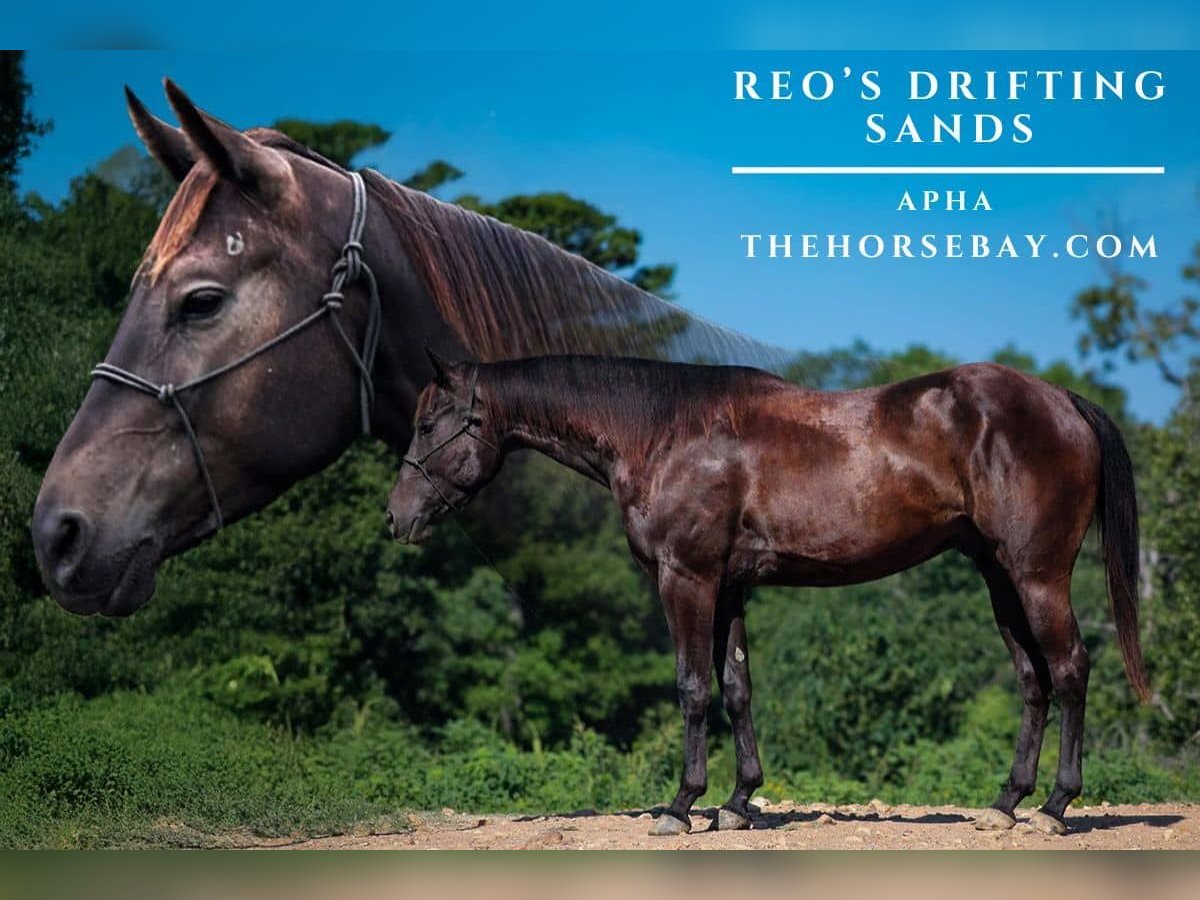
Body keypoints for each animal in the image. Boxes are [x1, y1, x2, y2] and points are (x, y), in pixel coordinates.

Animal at [386, 350, 1148, 837]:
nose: (395, 518)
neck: (666, 433)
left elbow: (693, 687)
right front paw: (739, 801)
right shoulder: (730, 588)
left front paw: (681, 805)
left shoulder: (686, 577)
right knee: (1033, 679)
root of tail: (1062, 401)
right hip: (999, 577)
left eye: (428, 424)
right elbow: (737, 687)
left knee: (1071, 669)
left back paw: (1054, 807)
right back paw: (1006, 803)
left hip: (1037, 575)